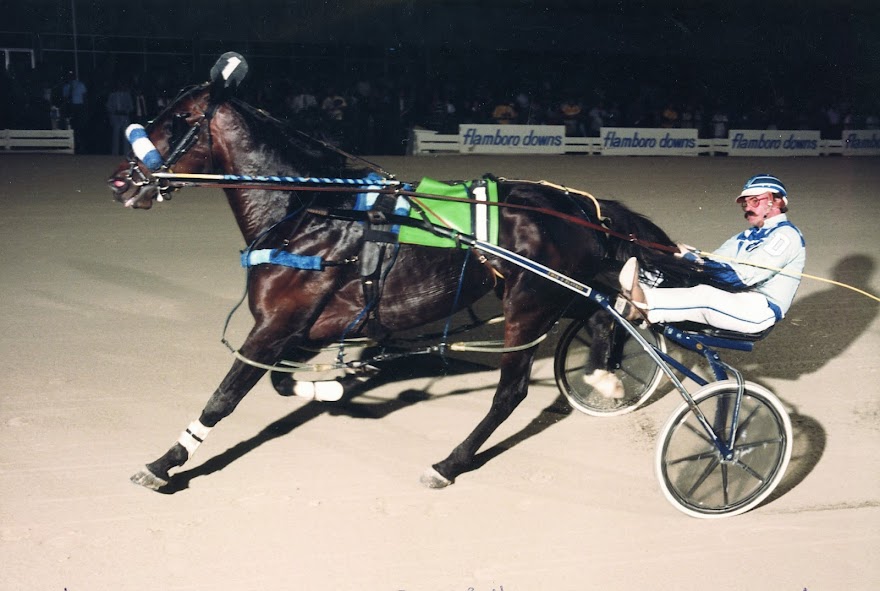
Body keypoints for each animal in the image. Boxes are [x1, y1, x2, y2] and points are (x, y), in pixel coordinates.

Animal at [110, 55, 712, 492]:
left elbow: (225, 397)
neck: (312, 211)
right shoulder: (306, 326)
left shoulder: (277, 322)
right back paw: (606, 370)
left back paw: (449, 463)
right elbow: (282, 380)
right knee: (608, 312)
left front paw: (163, 464)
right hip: (562, 290)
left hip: (530, 304)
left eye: (178, 122)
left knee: (511, 392)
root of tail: (581, 205)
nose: (121, 180)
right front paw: (331, 382)